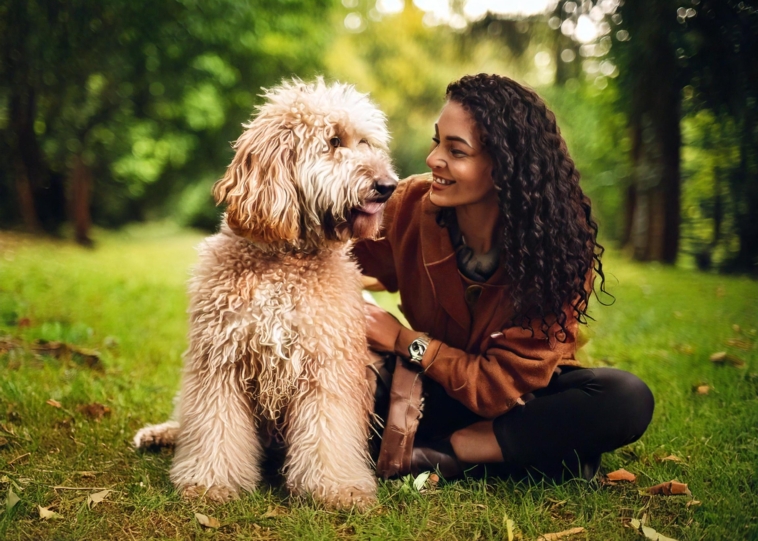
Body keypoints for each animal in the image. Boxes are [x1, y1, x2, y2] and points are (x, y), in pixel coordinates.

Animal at [135, 79, 398, 506]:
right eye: (334, 141)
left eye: (366, 142)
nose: (388, 186)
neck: (284, 261)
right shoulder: (220, 361)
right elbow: (215, 429)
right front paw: (210, 481)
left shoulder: (326, 366)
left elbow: (329, 433)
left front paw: (337, 488)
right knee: (188, 418)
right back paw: (162, 434)